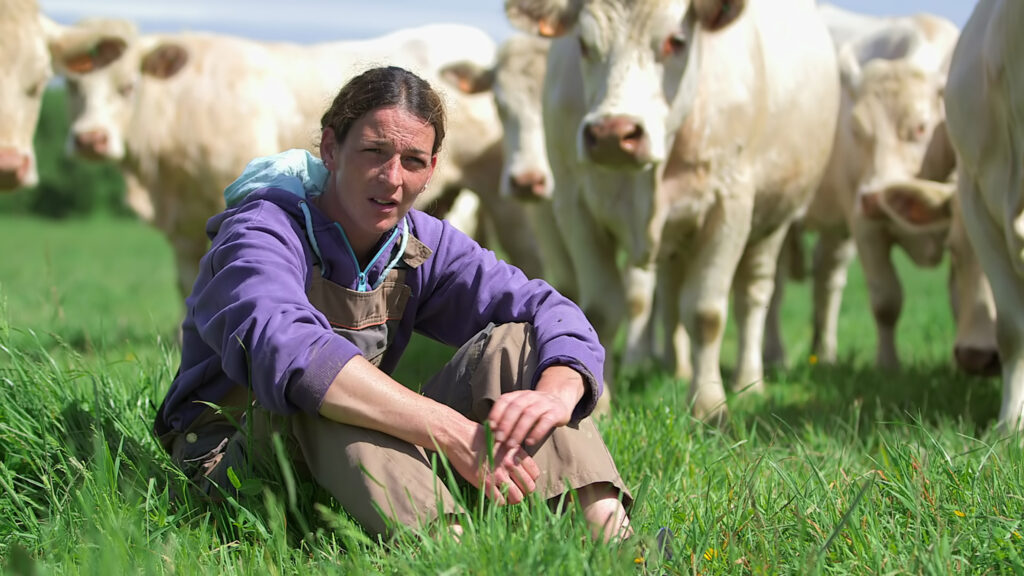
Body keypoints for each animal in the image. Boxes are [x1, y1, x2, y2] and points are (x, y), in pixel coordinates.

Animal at [48, 21, 544, 295]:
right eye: (71, 85)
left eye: (128, 86)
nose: (90, 139)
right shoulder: (183, 227)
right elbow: (189, 284)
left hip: (505, 194)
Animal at [503, 1, 839, 422]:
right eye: (583, 43)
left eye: (675, 41)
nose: (613, 134)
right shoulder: (574, 204)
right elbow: (601, 309)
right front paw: (599, 405)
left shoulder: (729, 205)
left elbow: (706, 313)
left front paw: (710, 404)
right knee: (670, 296)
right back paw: (677, 367)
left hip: (771, 224)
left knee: (753, 298)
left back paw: (749, 383)